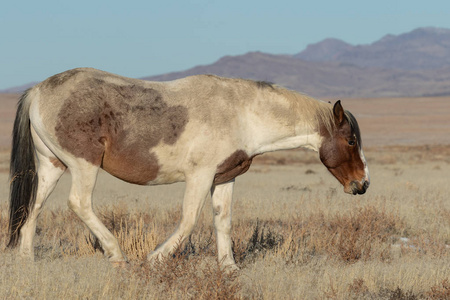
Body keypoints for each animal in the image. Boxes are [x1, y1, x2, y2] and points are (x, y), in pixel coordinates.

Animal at [8, 68, 370, 270]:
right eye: (352, 140)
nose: (363, 184)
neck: (241, 114)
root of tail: (38, 90)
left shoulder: (224, 178)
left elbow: (222, 221)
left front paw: (229, 268)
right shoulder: (200, 176)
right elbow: (189, 220)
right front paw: (155, 259)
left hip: (52, 164)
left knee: (34, 207)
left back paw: (26, 260)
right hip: (84, 165)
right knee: (79, 204)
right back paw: (117, 254)